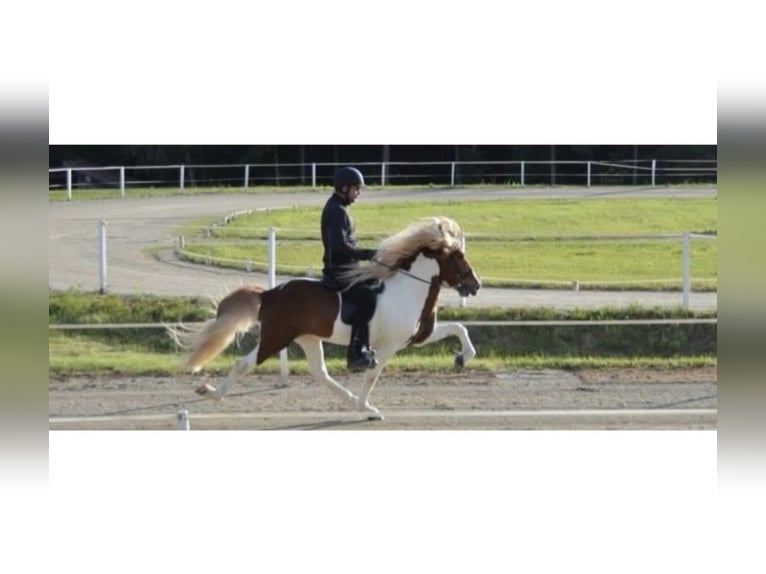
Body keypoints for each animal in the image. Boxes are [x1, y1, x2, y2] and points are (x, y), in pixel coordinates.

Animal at [170, 216, 481, 419]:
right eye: (459, 256)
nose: (475, 285)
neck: (408, 288)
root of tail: (270, 294)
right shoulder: (389, 345)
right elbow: (372, 375)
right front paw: (369, 410)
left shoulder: (416, 337)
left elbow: (460, 328)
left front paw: (462, 358)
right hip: (275, 337)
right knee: (243, 364)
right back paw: (211, 392)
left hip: (308, 338)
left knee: (320, 372)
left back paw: (351, 400)